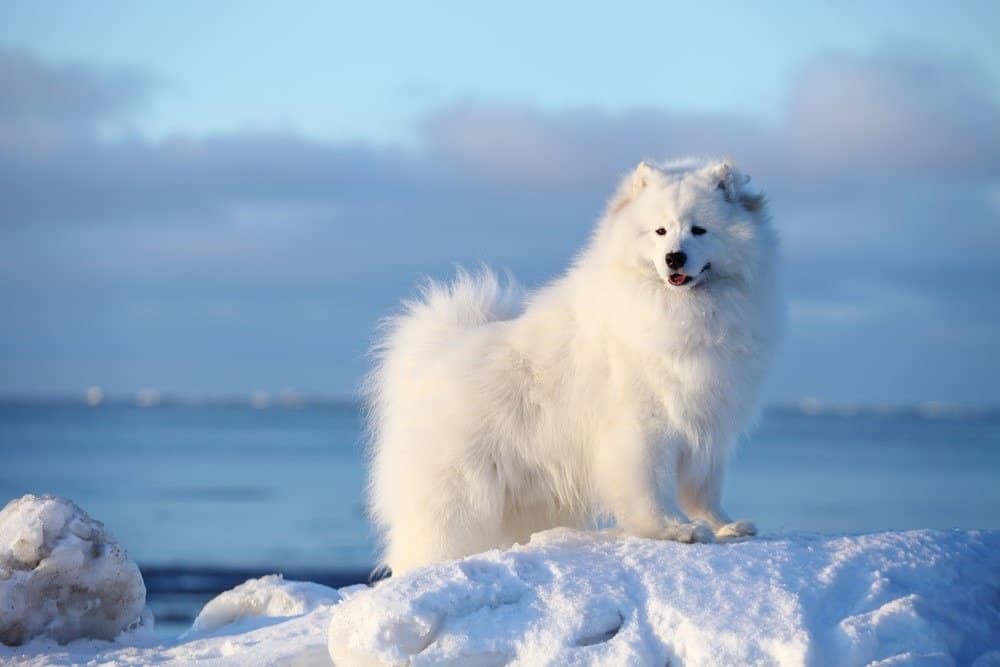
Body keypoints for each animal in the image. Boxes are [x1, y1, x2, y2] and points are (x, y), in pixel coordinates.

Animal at [366, 158, 780, 576]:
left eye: (699, 229)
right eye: (660, 231)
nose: (674, 257)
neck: (684, 311)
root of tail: (436, 350)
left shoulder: (709, 424)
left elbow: (704, 489)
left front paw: (724, 525)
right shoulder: (645, 427)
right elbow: (651, 488)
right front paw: (674, 529)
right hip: (459, 499)